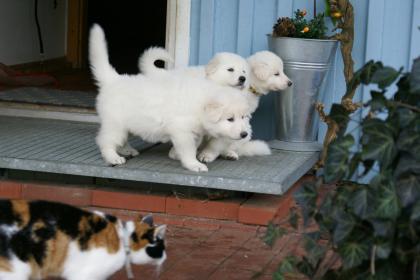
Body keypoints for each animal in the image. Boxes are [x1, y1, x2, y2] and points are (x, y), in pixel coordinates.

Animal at [89, 24, 251, 173]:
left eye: (243, 117)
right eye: (230, 119)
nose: (245, 134)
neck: (200, 104)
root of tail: (114, 79)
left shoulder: (195, 131)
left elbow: (197, 144)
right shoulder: (182, 131)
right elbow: (189, 150)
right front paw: (194, 164)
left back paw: (127, 150)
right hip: (115, 123)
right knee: (105, 141)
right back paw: (113, 157)